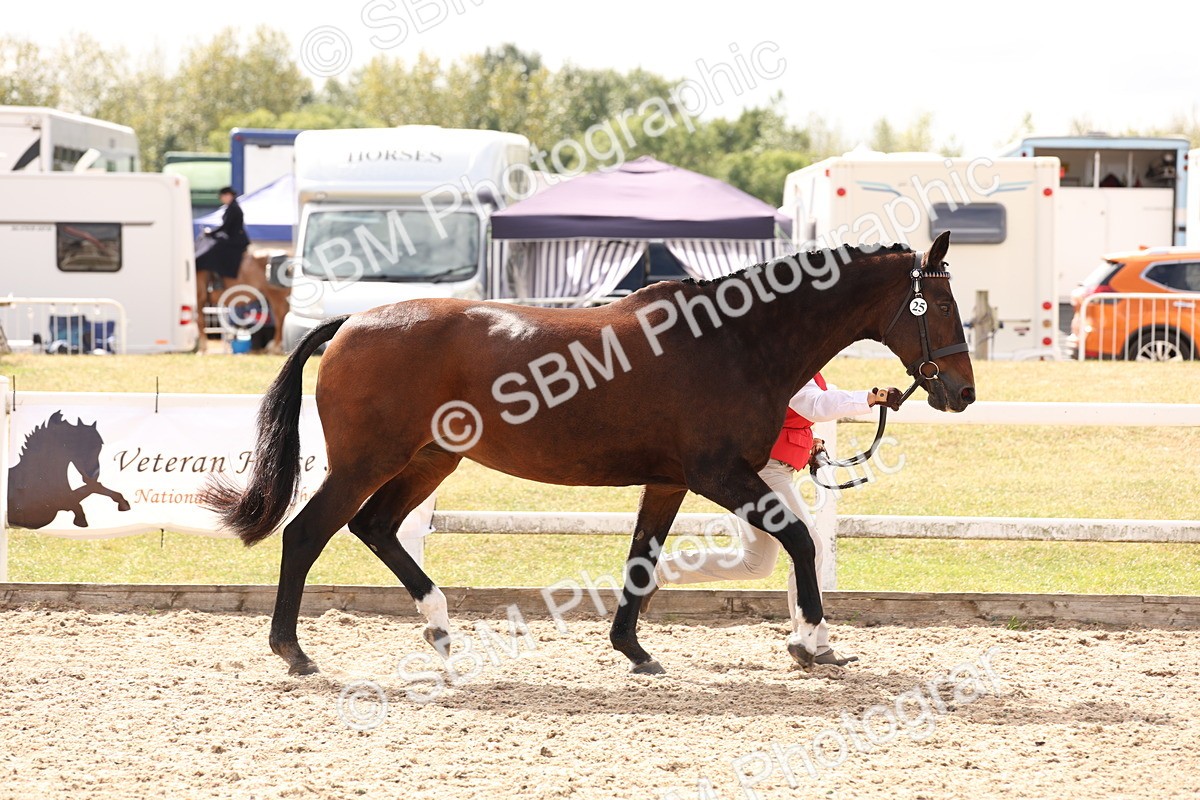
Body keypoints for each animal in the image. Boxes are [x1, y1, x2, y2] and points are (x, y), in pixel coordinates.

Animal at [200, 232, 975, 676]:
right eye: (939, 306)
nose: (963, 392)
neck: (733, 340)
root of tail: (352, 320)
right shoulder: (719, 474)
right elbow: (800, 543)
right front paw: (812, 641)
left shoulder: (669, 482)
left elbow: (642, 559)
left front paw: (632, 649)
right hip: (369, 462)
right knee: (307, 533)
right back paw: (293, 651)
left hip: (429, 460)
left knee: (376, 528)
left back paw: (440, 628)